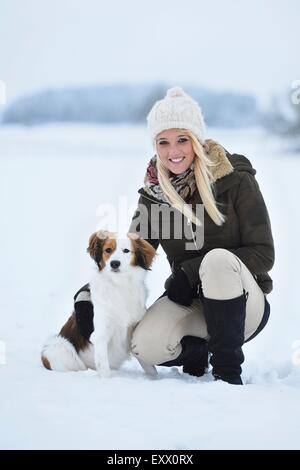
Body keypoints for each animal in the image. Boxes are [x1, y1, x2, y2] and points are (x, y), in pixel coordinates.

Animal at [41, 231, 157, 378]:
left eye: (126, 250)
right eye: (108, 250)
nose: (114, 263)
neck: (120, 285)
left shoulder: (134, 332)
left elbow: (149, 366)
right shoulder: (101, 335)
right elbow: (104, 368)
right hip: (57, 348)